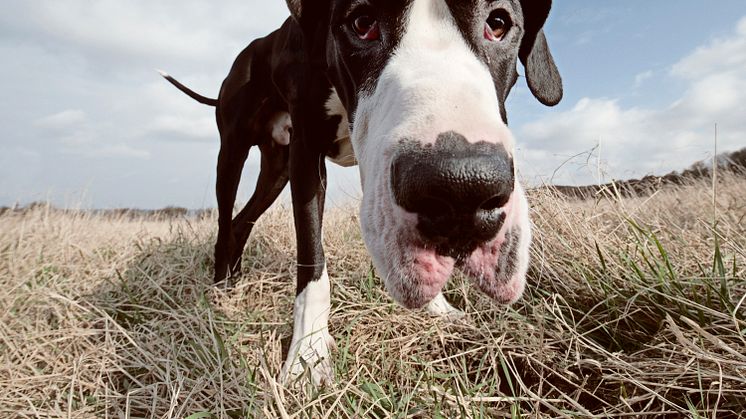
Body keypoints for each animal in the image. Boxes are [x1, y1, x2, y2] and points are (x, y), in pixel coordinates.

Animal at [163, 0, 560, 388]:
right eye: (362, 23)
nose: (461, 191)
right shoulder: (306, 156)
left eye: (498, 23)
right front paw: (308, 356)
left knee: (242, 221)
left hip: (275, 170)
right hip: (232, 152)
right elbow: (312, 260)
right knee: (225, 220)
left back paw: (233, 281)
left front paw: (438, 308)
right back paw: (218, 289)